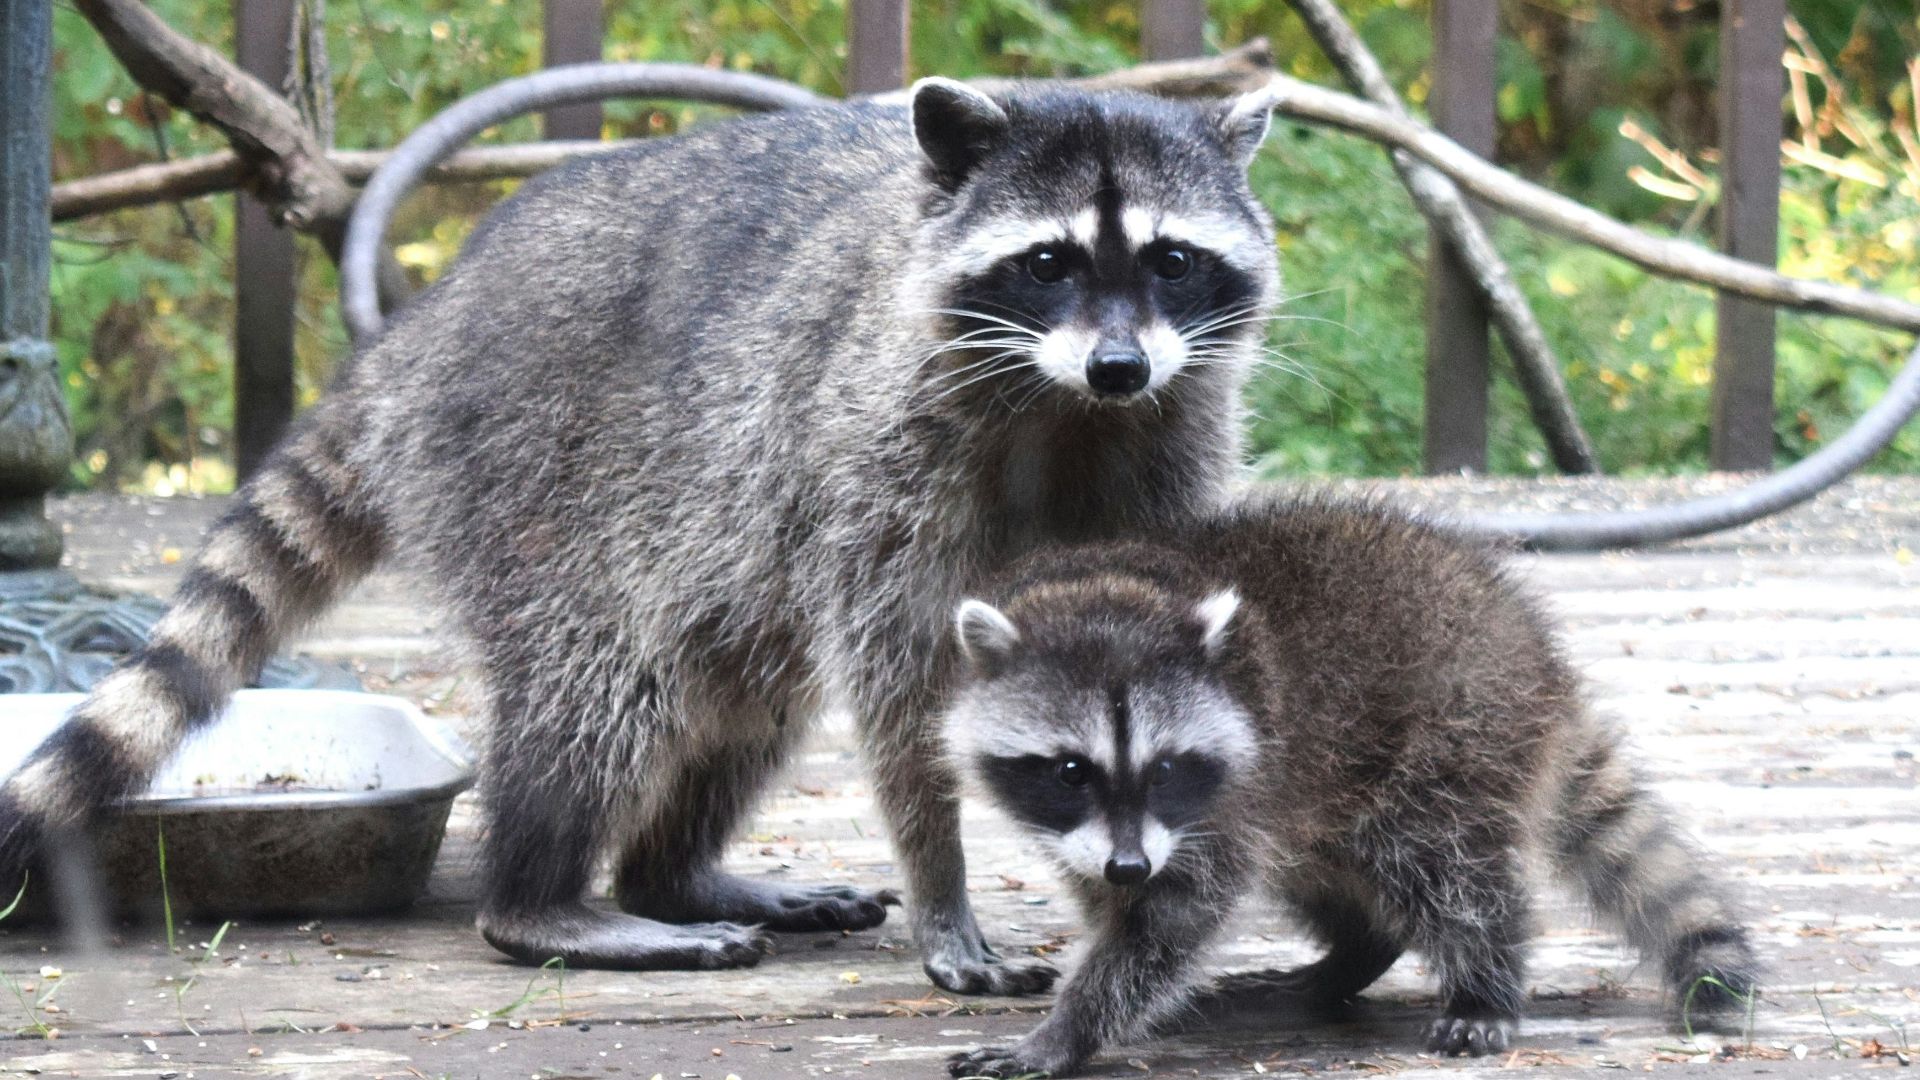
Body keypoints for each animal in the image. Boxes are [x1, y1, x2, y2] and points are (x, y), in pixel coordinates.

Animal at [0, 80, 1282, 991]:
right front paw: (944, 886)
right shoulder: (878, 450)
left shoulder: (1170, 443)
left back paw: (673, 875)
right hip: (528, 469)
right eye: (1048, 262)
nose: (1118, 365)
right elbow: (904, 692)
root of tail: (428, 325)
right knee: (600, 687)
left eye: (1171, 259)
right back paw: (547, 898)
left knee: (743, 689)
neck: (1069, 410)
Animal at [942, 496, 1758, 1076]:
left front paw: (1069, 1029)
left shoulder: (1223, 801)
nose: (1129, 865)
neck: (1109, 592)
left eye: (1165, 767)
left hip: (1456, 730)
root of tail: (1540, 660)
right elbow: (1115, 899)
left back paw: (1484, 979)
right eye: (1071, 770)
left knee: (1442, 865)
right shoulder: (1107, 831)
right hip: (1332, 782)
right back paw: (1351, 956)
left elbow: (1168, 920)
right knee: (1322, 866)